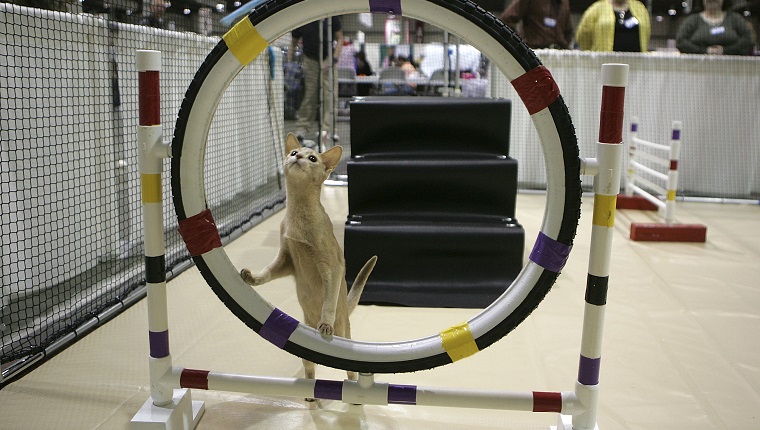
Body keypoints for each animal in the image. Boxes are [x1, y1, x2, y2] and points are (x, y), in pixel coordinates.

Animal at [240, 134, 378, 382]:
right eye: (295, 152)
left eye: (312, 158)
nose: (297, 157)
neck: (297, 215)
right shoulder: (286, 259)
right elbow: (267, 272)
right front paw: (251, 277)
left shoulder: (331, 267)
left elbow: (328, 300)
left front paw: (325, 323)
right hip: (305, 351)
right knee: (310, 366)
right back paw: (310, 388)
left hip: (344, 333)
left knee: (351, 370)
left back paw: (352, 385)